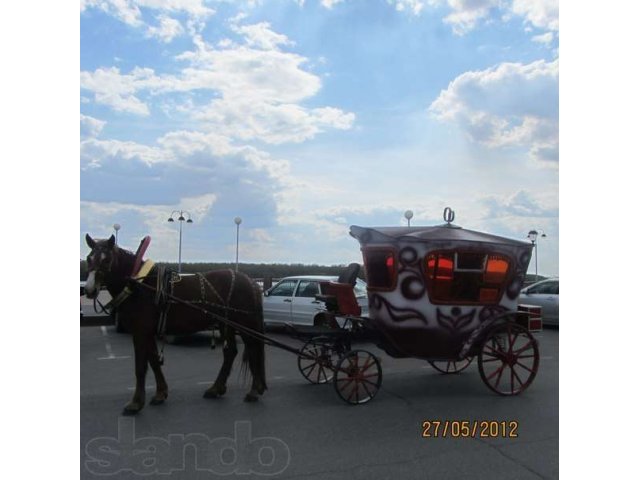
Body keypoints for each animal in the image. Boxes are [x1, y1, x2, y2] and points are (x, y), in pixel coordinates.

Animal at [83, 234, 268, 414]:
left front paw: (136, 403)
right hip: (226, 324)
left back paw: (253, 390)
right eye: (89, 258)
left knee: (253, 349)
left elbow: (140, 367)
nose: (89, 289)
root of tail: (251, 282)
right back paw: (216, 388)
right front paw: (160, 393)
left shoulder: (140, 331)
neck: (139, 285)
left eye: (107, 259)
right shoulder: (148, 332)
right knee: (231, 352)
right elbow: (154, 360)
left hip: (244, 323)